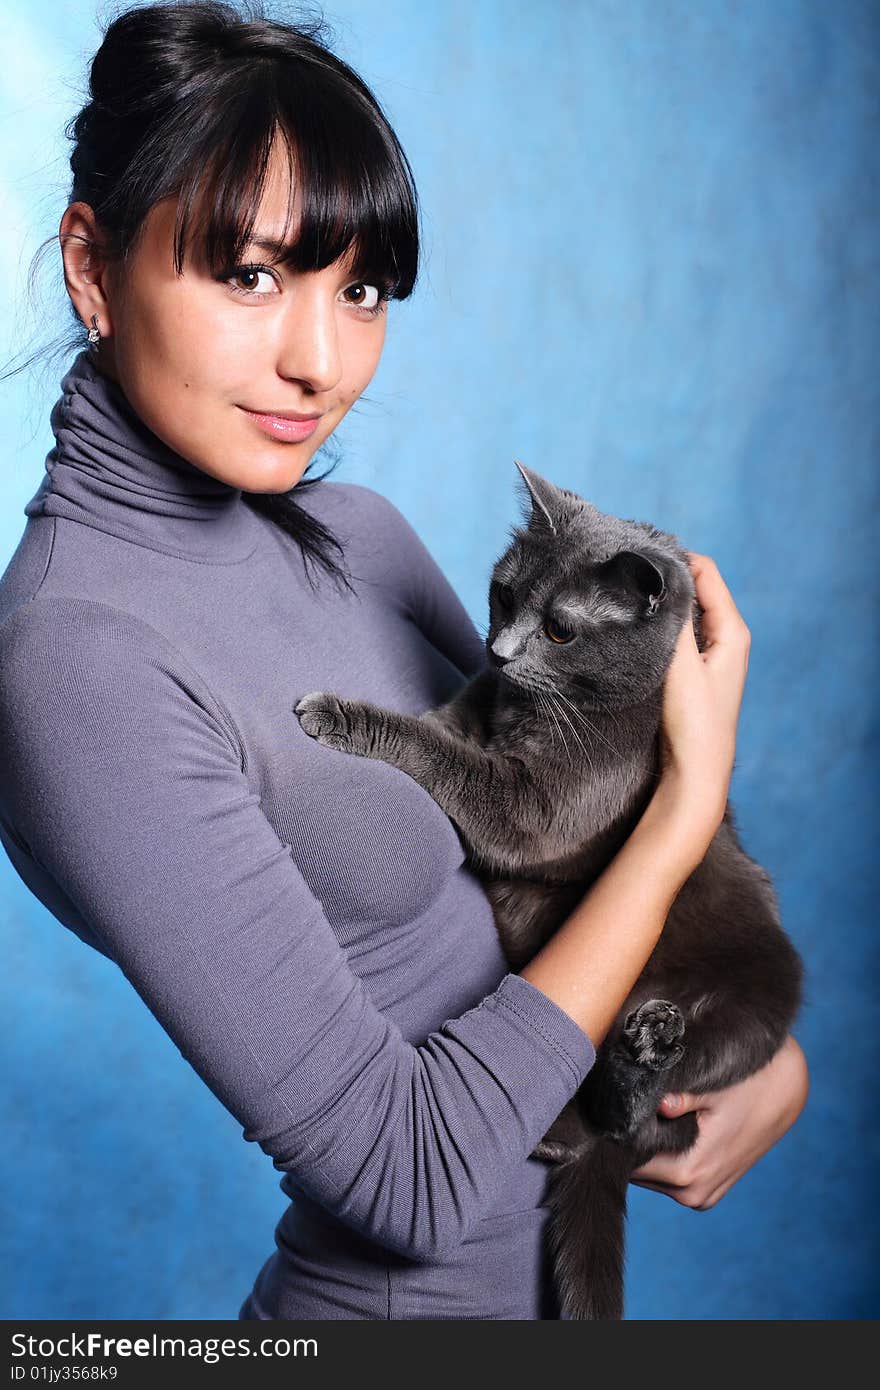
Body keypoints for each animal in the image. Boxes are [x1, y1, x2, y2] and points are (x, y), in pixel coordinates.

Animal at [291, 461, 800, 1317]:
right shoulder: (475, 706)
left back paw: (638, 1059)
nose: (500, 650)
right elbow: (445, 723)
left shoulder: (534, 809)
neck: (526, 709)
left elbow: (439, 754)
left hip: (749, 1012)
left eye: (561, 630)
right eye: (503, 593)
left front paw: (337, 713)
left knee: (656, 1128)